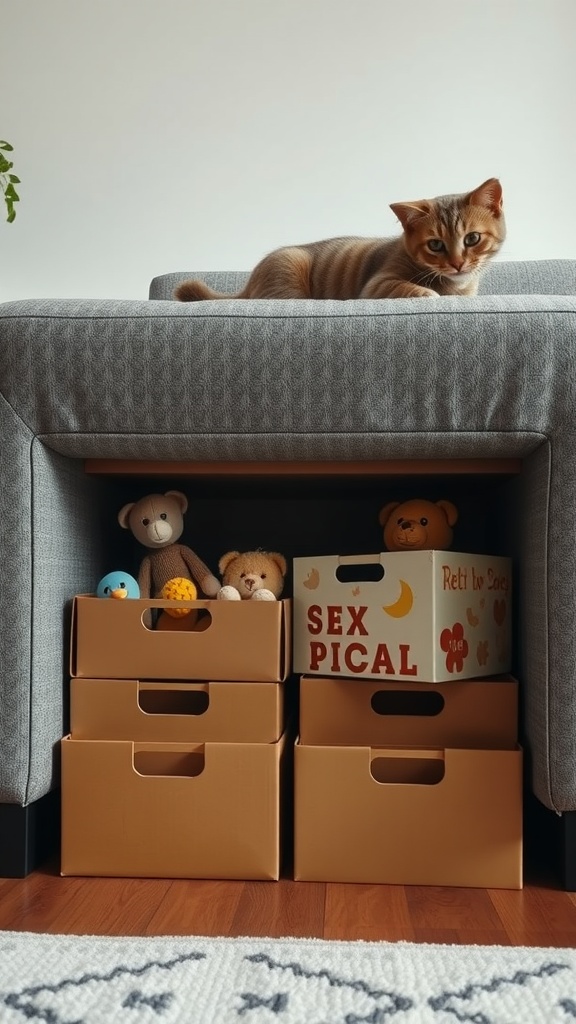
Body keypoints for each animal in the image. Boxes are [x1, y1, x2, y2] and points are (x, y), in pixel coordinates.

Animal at [174, 177, 502, 299]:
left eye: (472, 239)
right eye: (435, 244)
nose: (458, 264)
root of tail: (249, 284)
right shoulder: (377, 284)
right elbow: (412, 288)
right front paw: (428, 293)